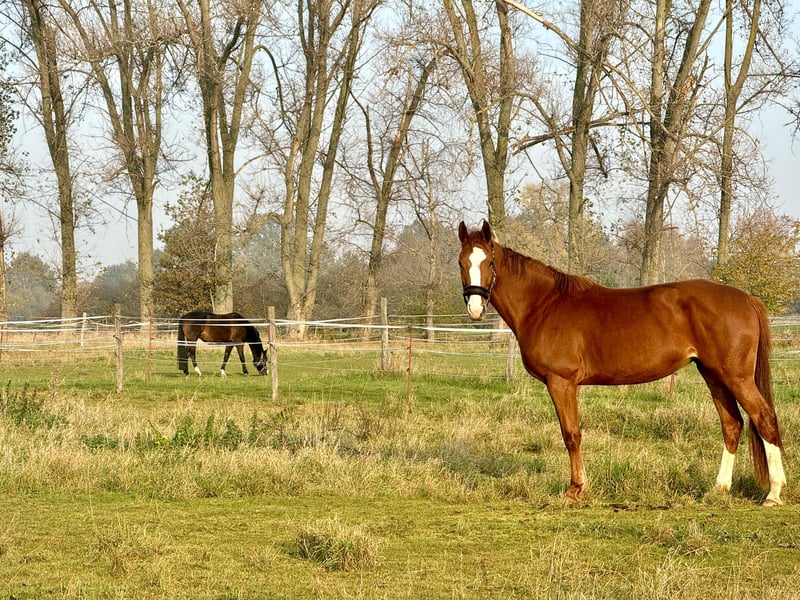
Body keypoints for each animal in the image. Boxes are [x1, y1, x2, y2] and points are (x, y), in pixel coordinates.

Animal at [458, 220, 786, 506]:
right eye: (462, 263)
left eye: (489, 263)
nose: (475, 308)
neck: (544, 304)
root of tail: (745, 298)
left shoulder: (561, 382)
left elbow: (571, 434)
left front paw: (575, 490)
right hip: (713, 374)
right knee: (732, 424)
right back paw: (719, 489)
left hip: (736, 377)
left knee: (764, 418)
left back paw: (773, 493)